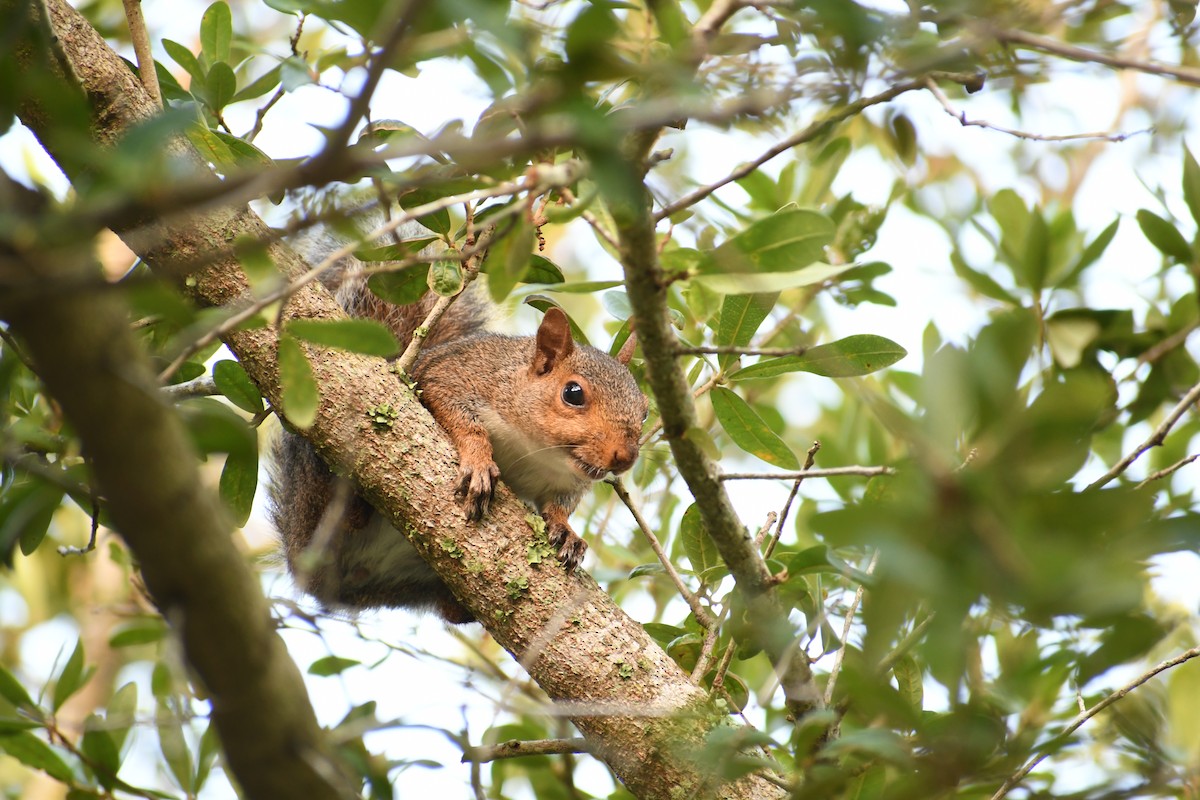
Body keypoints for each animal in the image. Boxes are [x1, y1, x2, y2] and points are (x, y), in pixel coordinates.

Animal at [269, 230, 648, 624]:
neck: (537, 449)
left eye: (645, 411)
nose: (624, 457)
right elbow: (461, 418)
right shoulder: (452, 375)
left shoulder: (565, 481)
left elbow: (558, 505)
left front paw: (566, 530)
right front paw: (479, 461)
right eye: (573, 393)